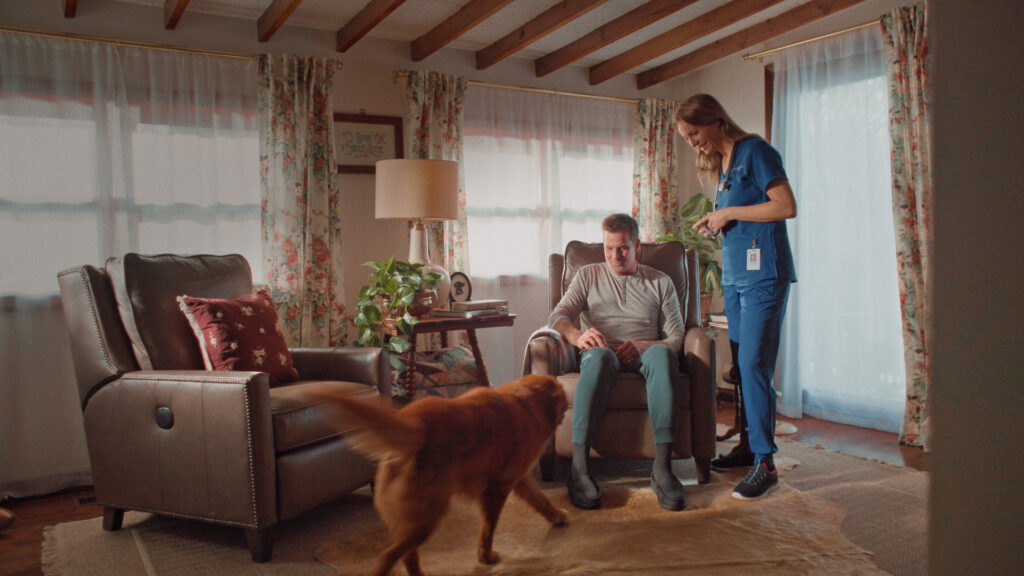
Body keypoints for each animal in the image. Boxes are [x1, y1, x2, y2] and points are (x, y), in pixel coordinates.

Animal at [329, 373, 569, 573]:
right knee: (388, 556)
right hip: (428, 514)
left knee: (407, 556)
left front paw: (557, 516)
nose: (568, 409)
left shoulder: (517, 479)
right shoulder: (499, 488)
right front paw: (486, 557)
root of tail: (415, 427)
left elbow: (541, 500)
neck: (527, 404)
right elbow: (488, 530)